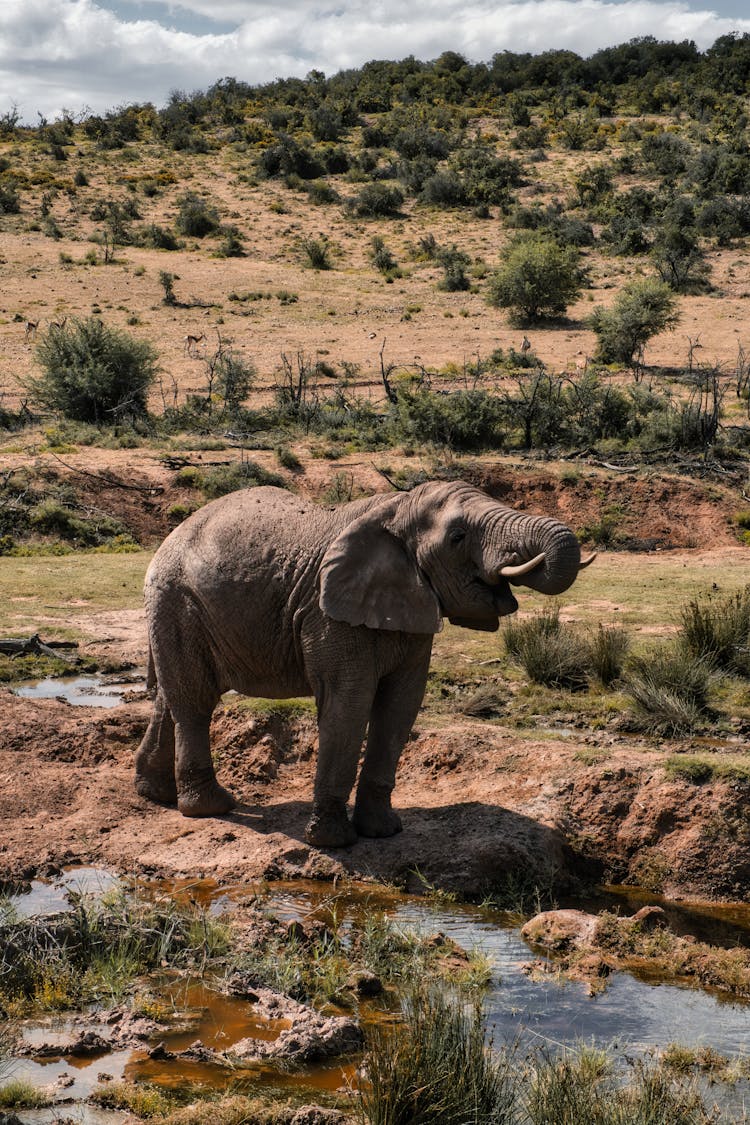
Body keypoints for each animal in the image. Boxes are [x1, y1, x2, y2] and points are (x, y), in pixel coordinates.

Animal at [134, 479, 593, 846]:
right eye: (458, 537)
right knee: (195, 702)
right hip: (178, 601)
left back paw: (155, 795)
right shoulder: (328, 615)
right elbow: (349, 705)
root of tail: (170, 536)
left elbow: (401, 707)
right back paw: (211, 808)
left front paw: (384, 832)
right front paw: (334, 842)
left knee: (170, 699)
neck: (399, 508)